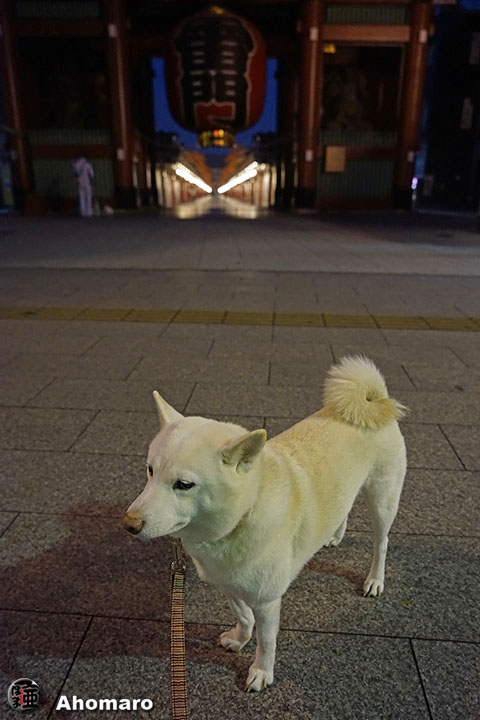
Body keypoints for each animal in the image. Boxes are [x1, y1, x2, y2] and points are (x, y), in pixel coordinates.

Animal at [123, 358, 404, 696]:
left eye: (184, 485)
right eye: (150, 470)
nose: (129, 524)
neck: (238, 520)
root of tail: (374, 401)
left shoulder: (268, 600)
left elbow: (266, 640)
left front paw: (261, 671)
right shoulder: (227, 582)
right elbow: (243, 616)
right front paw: (239, 639)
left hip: (383, 500)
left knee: (381, 543)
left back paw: (375, 580)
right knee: (345, 509)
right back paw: (333, 536)